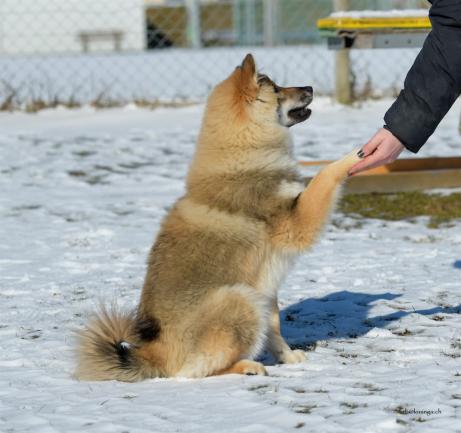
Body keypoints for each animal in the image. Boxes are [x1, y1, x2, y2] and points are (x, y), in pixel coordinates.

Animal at [75, 52, 362, 380]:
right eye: (276, 89)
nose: (310, 87)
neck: (245, 153)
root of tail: (153, 355)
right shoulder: (297, 223)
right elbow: (326, 173)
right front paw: (356, 153)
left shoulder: (266, 289)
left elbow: (274, 330)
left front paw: (288, 357)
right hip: (237, 299)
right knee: (197, 372)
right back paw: (247, 366)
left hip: (249, 298)